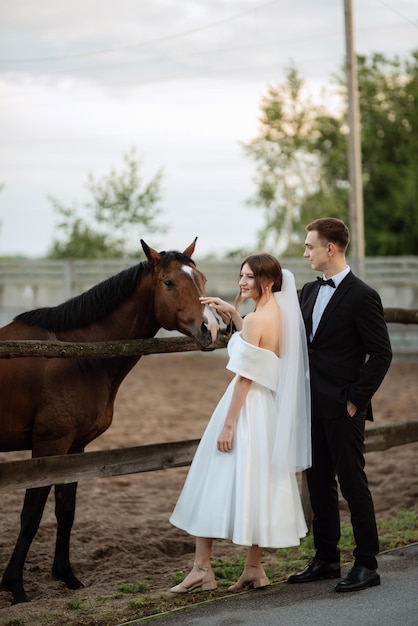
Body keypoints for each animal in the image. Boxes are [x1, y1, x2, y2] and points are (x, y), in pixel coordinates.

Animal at [0, 236, 217, 604]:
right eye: (169, 282)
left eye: (201, 278)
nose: (211, 328)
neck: (74, 353)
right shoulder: (48, 446)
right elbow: (31, 515)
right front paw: (15, 586)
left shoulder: (74, 448)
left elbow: (66, 511)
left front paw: (66, 575)